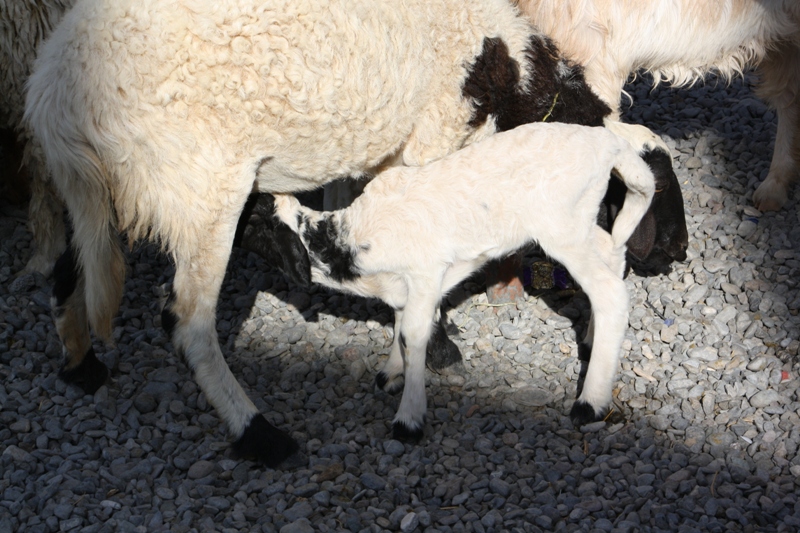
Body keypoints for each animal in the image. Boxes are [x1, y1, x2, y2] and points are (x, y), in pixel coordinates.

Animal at [255, 122, 656, 438]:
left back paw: (590, 402)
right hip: (581, 223)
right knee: (612, 252)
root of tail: (608, 143)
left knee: (610, 293)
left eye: (252, 221)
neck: (350, 239)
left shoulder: (425, 272)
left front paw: (409, 419)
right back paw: (589, 337)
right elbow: (401, 322)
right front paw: (391, 373)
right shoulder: (407, 286)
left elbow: (412, 334)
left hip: (562, 227)